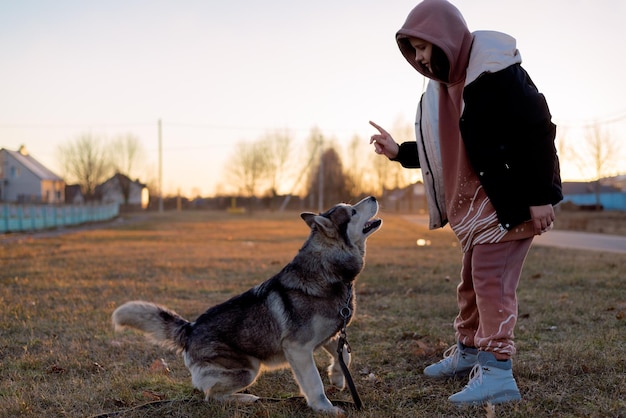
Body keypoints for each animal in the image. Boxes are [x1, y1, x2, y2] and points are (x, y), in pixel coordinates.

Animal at [113, 197, 380, 414]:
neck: (328, 272)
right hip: (248, 369)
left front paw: (337, 377)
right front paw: (325, 408)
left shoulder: (330, 334)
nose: (373, 196)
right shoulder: (298, 348)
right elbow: (314, 383)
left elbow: (345, 354)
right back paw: (245, 398)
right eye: (353, 211)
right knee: (211, 396)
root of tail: (190, 328)